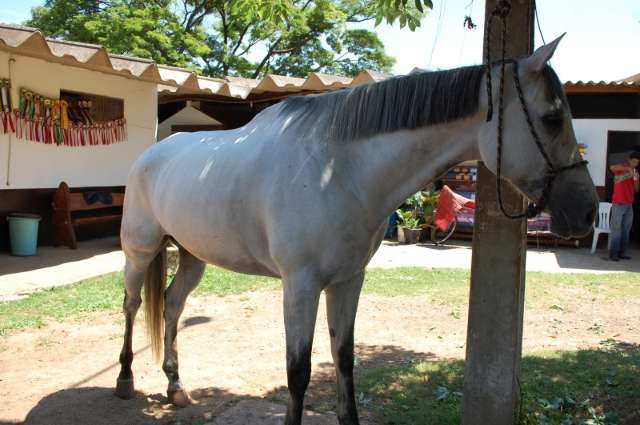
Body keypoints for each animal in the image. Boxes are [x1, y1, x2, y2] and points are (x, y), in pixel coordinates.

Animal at [114, 35, 598, 425]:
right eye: (552, 118)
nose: (588, 211)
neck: (336, 168)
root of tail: (149, 155)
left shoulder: (348, 280)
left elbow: (344, 359)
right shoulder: (300, 286)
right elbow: (298, 372)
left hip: (192, 256)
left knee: (173, 305)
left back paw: (175, 386)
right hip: (140, 252)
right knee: (132, 305)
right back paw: (124, 379)